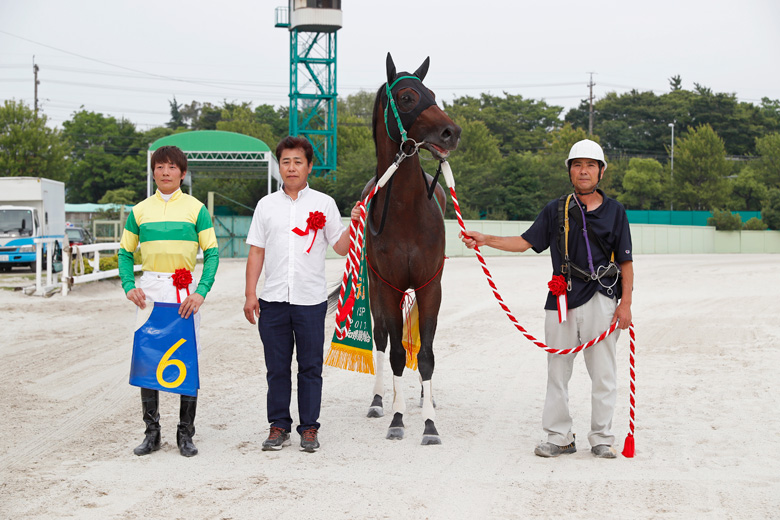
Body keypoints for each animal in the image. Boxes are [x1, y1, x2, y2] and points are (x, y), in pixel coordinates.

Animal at [361, 53, 461, 444]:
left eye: (431, 93)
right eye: (406, 97)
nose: (452, 131)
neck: (405, 210)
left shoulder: (430, 285)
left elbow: (426, 353)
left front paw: (430, 423)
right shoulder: (387, 287)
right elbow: (395, 355)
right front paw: (397, 417)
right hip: (374, 288)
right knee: (381, 341)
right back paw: (380, 400)